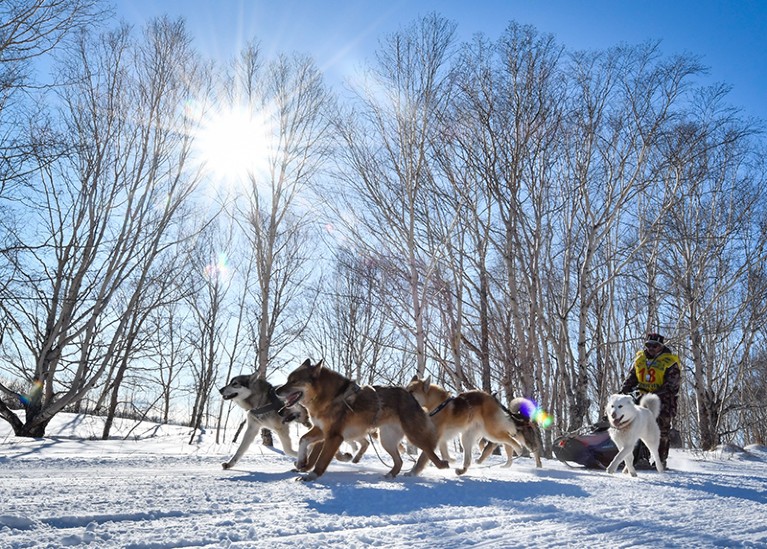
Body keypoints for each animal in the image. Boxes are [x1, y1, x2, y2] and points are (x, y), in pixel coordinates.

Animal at [274, 360, 450, 480]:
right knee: (399, 461)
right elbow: (303, 440)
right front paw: (301, 463)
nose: (276, 391)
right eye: (288, 379)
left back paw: (443, 465)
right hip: (386, 440)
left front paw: (311, 475)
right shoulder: (322, 430)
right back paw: (390, 475)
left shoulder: (334, 436)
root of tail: (410, 395)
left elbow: (321, 460)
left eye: (294, 381)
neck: (329, 397)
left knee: (429, 450)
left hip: (412, 435)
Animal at [404, 374, 544, 474]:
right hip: (466, 437)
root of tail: (491, 398)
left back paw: (519, 450)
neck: (436, 406)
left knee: (510, 439)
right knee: (469, 459)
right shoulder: (441, 438)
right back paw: (462, 470)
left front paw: (412, 473)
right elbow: (444, 453)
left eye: (411, 391)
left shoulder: (434, 438)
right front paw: (451, 460)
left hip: (491, 432)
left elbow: (422, 458)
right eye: (406, 389)